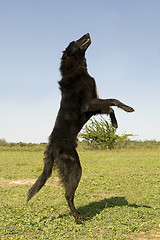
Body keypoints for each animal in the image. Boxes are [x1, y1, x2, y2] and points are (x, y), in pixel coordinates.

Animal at [27, 33, 134, 221]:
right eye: (74, 41)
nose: (88, 33)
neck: (77, 70)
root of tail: (51, 146)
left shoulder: (94, 107)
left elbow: (110, 108)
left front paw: (114, 123)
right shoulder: (88, 104)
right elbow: (114, 100)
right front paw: (128, 108)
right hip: (75, 168)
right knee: (68, 194)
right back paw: (77, 216)